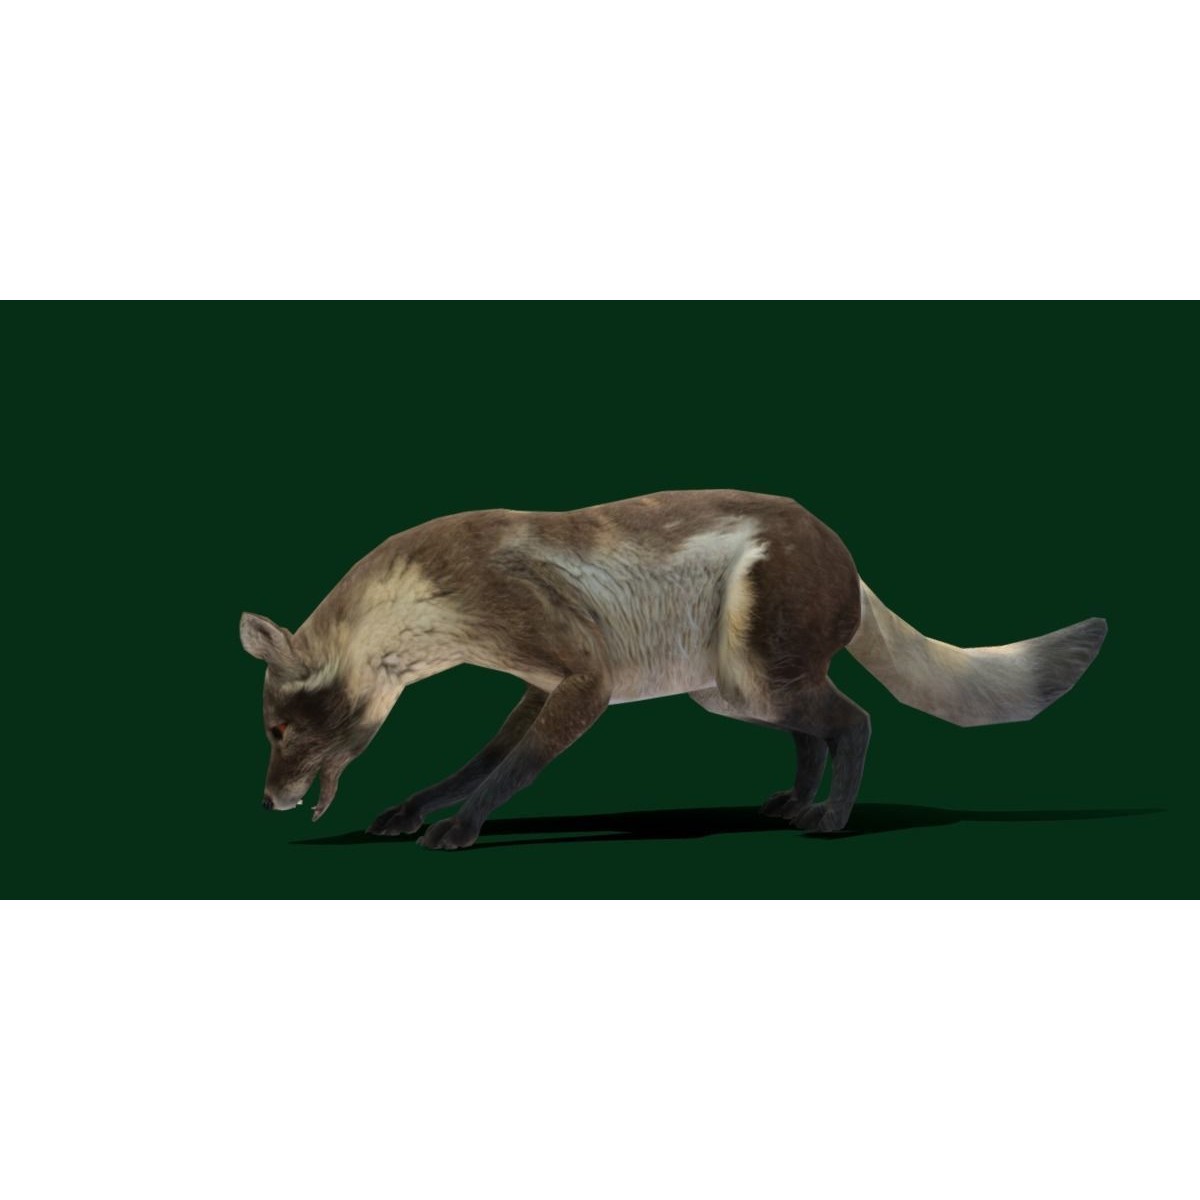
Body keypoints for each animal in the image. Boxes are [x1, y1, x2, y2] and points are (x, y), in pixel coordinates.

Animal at [239, 489, 1106, 849]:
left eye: (278, 729)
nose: (268, 801)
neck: (437, 596)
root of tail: (850, 560)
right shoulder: (537, 684)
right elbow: (476, 761)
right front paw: (411, 811)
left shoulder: (583, 679)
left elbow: (509, 771)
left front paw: (459, 829)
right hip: (732, 692)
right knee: (814, 735)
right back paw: (793, 804)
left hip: (757, 676)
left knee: (856, 722)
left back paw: (828, 818)